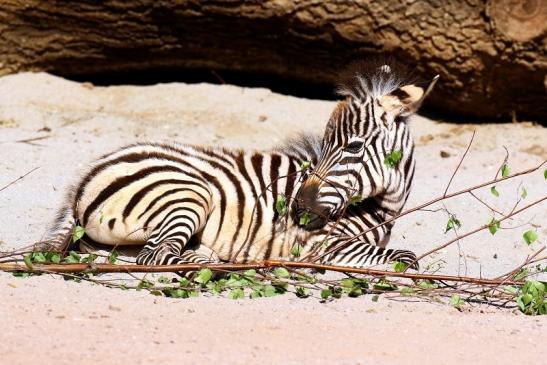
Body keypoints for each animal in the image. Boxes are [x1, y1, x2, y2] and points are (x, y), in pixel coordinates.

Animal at [40, 59, 438, 270]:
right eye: (325, 146)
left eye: (353, 146)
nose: (298, 209)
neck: (377, 207)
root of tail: (84, 178)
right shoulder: (321, 245)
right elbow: (407, 258)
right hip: (187, 195)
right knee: (156, 256)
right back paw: (208, 265)